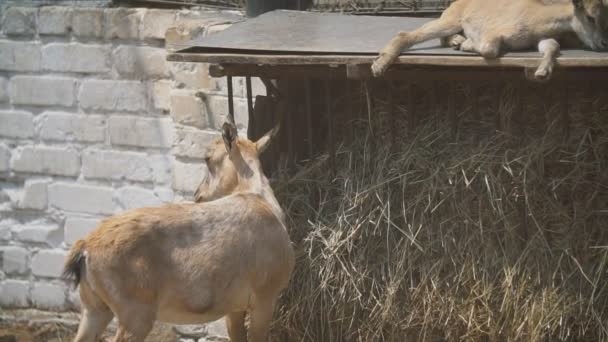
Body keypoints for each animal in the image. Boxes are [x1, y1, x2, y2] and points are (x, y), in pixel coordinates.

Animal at [64, 123, 294, 342]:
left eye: (208, 159)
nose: (198, 195)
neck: (260, 200)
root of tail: (86, 247)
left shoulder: (235, 308)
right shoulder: (264, 298)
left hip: (94, 308)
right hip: (134, 315)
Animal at [370, 0, 608, 81]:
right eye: (589, 16)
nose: (604, 43)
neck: (541, 18)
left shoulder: (540, 39)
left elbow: (552, 46)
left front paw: (542, 72)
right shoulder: (497, 32)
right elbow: (489, 48)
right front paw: (469, 45)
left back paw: (456, 40)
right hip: (451, 18)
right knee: (407, 35)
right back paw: (379, 66)